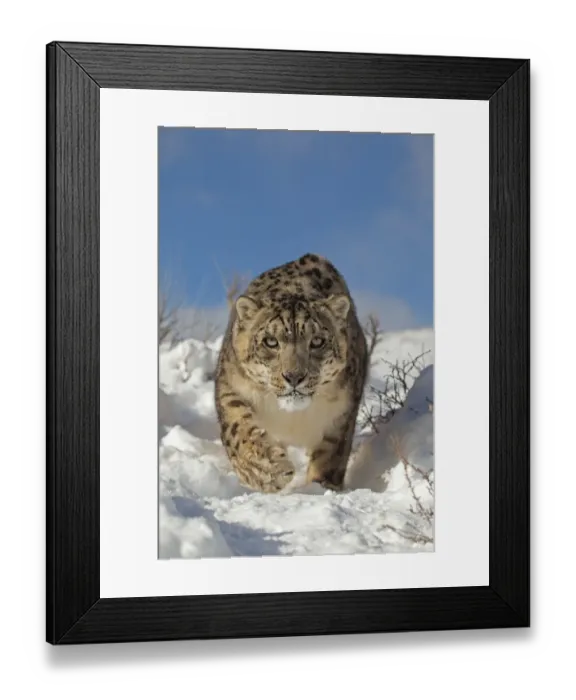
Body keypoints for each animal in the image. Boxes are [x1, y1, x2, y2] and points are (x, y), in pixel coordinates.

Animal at [214, 253, 368, 494]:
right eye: (270, 341)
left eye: (317, 341)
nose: (294, 376)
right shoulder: (231, 387)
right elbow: (238, 430)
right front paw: (269, 469)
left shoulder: (342, 415)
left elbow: (330, 455)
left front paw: (320, 486)